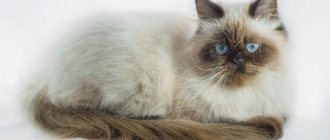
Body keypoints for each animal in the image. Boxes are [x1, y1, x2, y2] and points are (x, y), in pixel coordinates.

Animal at [24, 0, 290, 139]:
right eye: (222, 48)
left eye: (252, 46)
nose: (236, 61)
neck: (245, 93)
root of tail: (46, 76)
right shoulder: (204, 113)